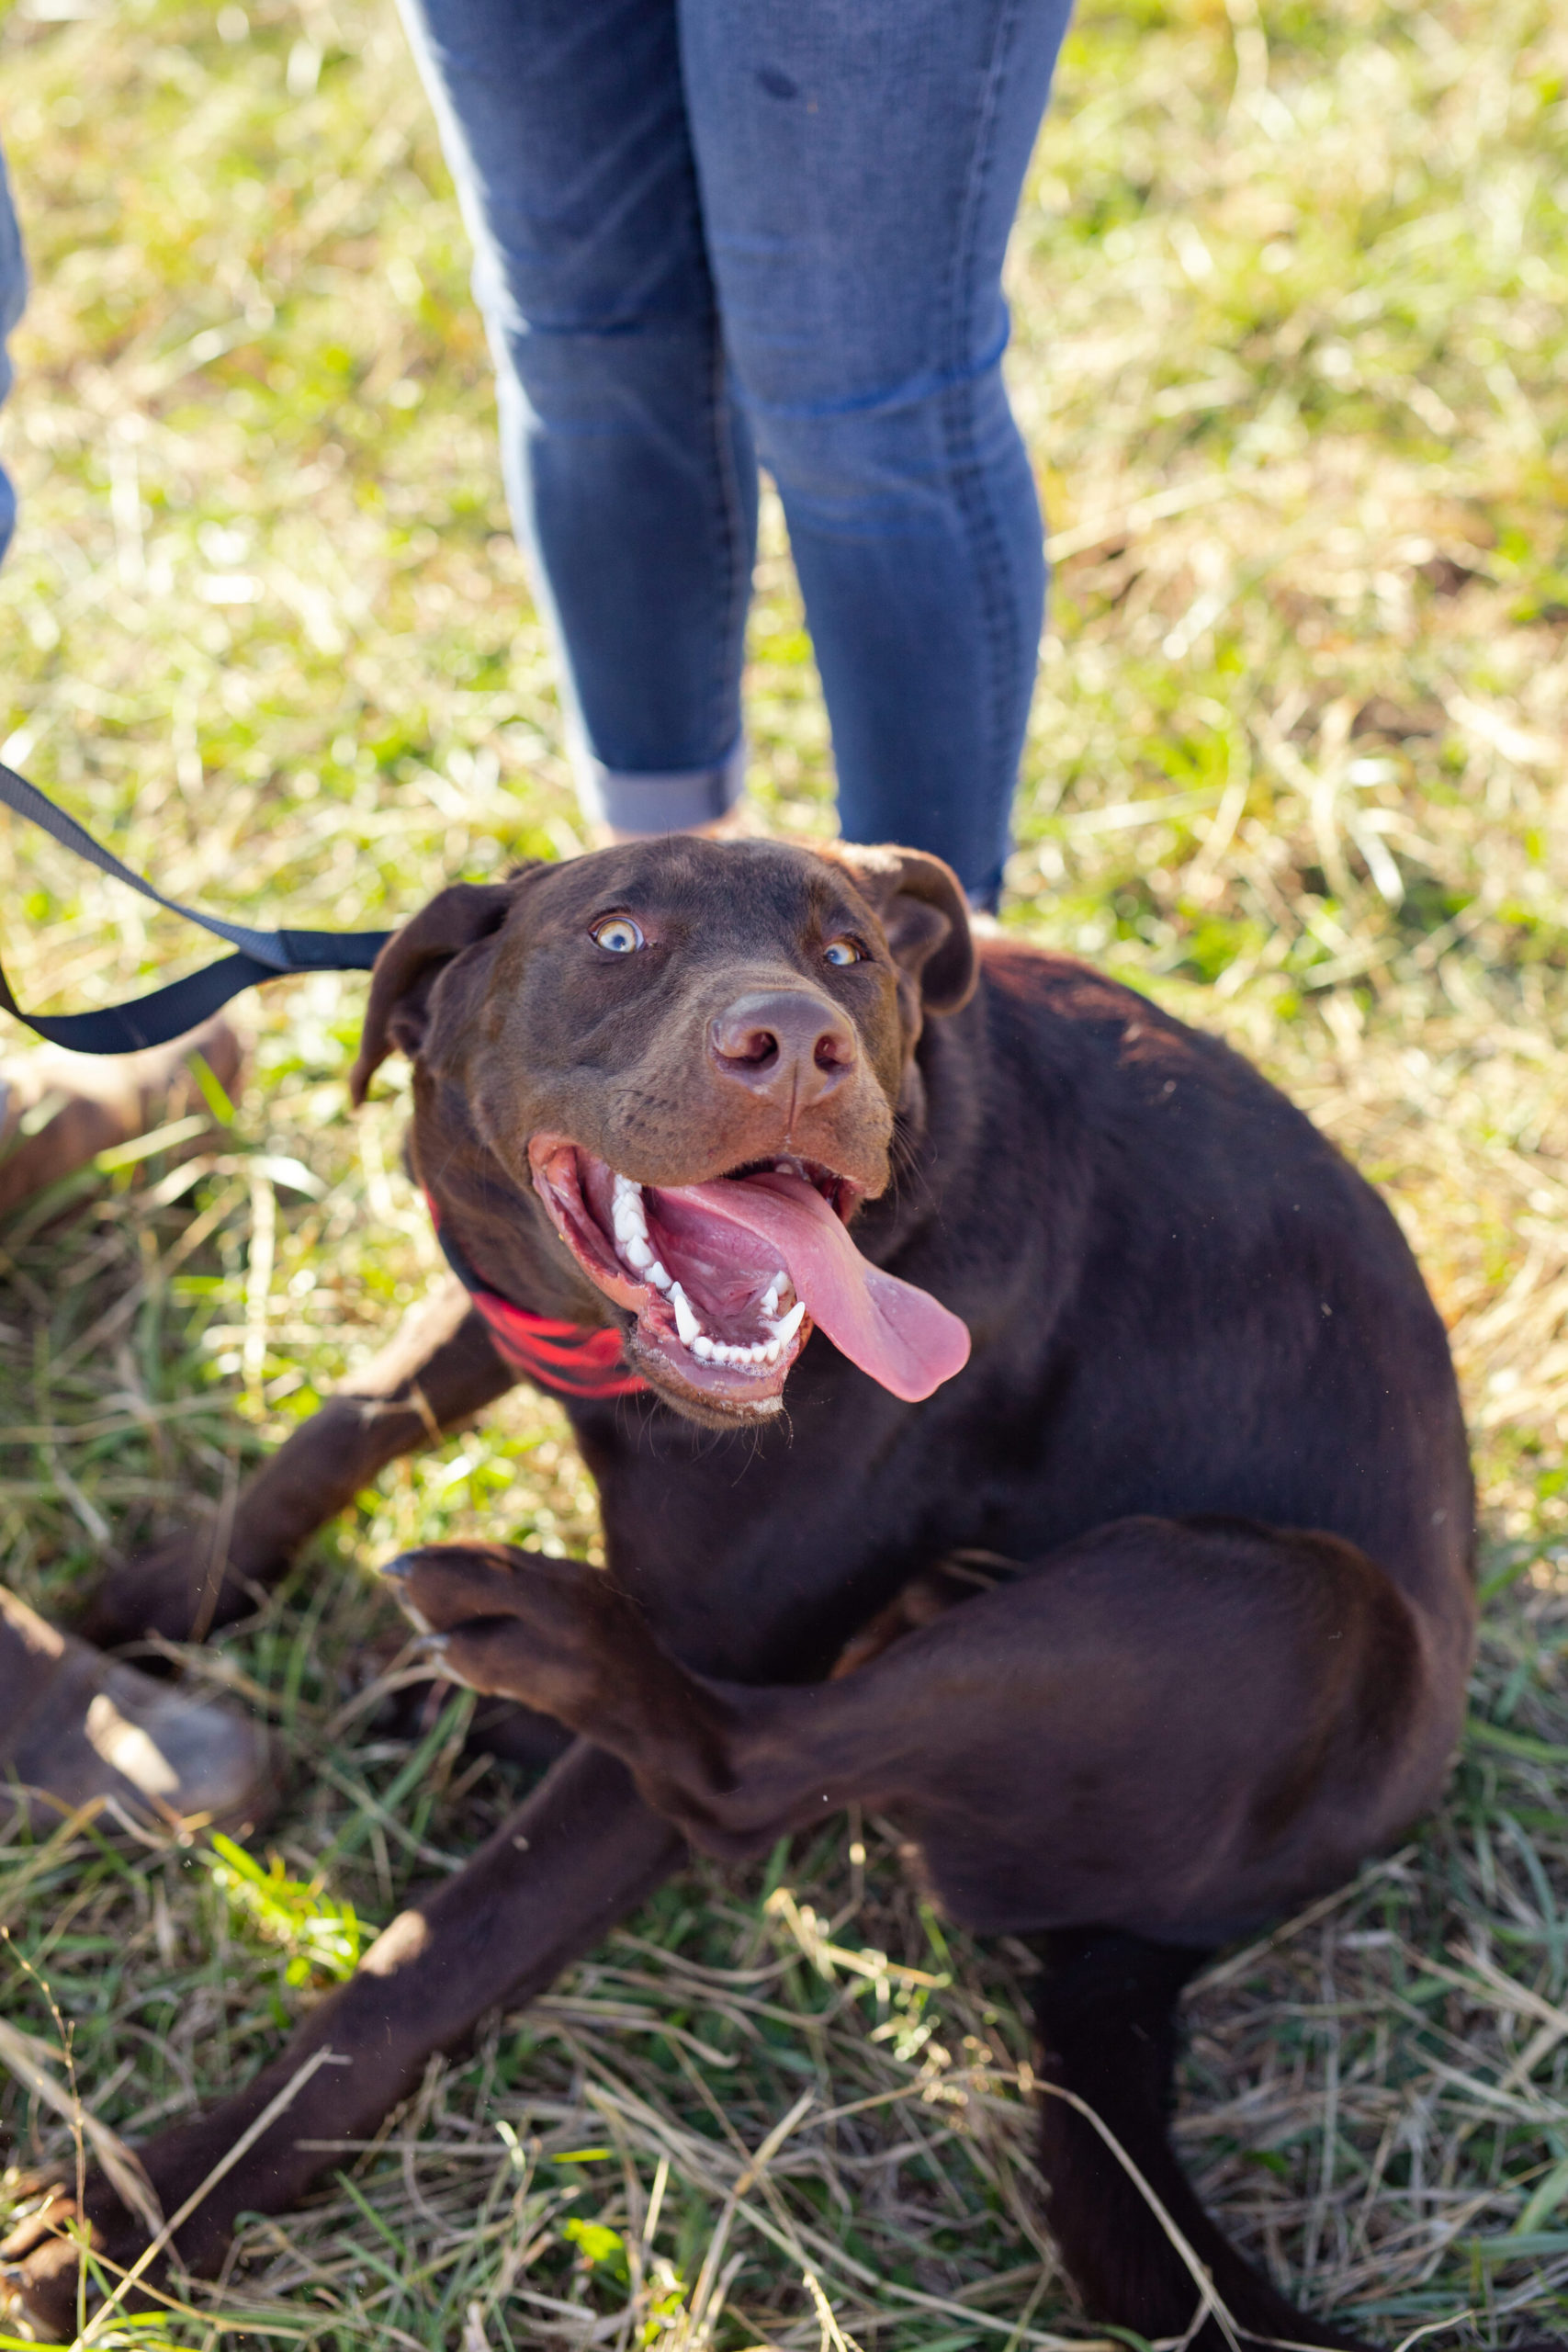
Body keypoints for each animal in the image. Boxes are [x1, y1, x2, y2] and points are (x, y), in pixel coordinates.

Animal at [8, 837, 1504, 2342]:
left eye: (848, 954)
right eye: (616, 937)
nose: (796, 1042)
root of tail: (1168, 1936)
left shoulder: (721, 1663)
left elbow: (423, 1964)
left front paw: (145, 2212)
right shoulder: (501, 1304)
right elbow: (345, 1422)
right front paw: (158, 1597)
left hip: (1257, 1602)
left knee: (745, 1768)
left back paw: (523, 1632)